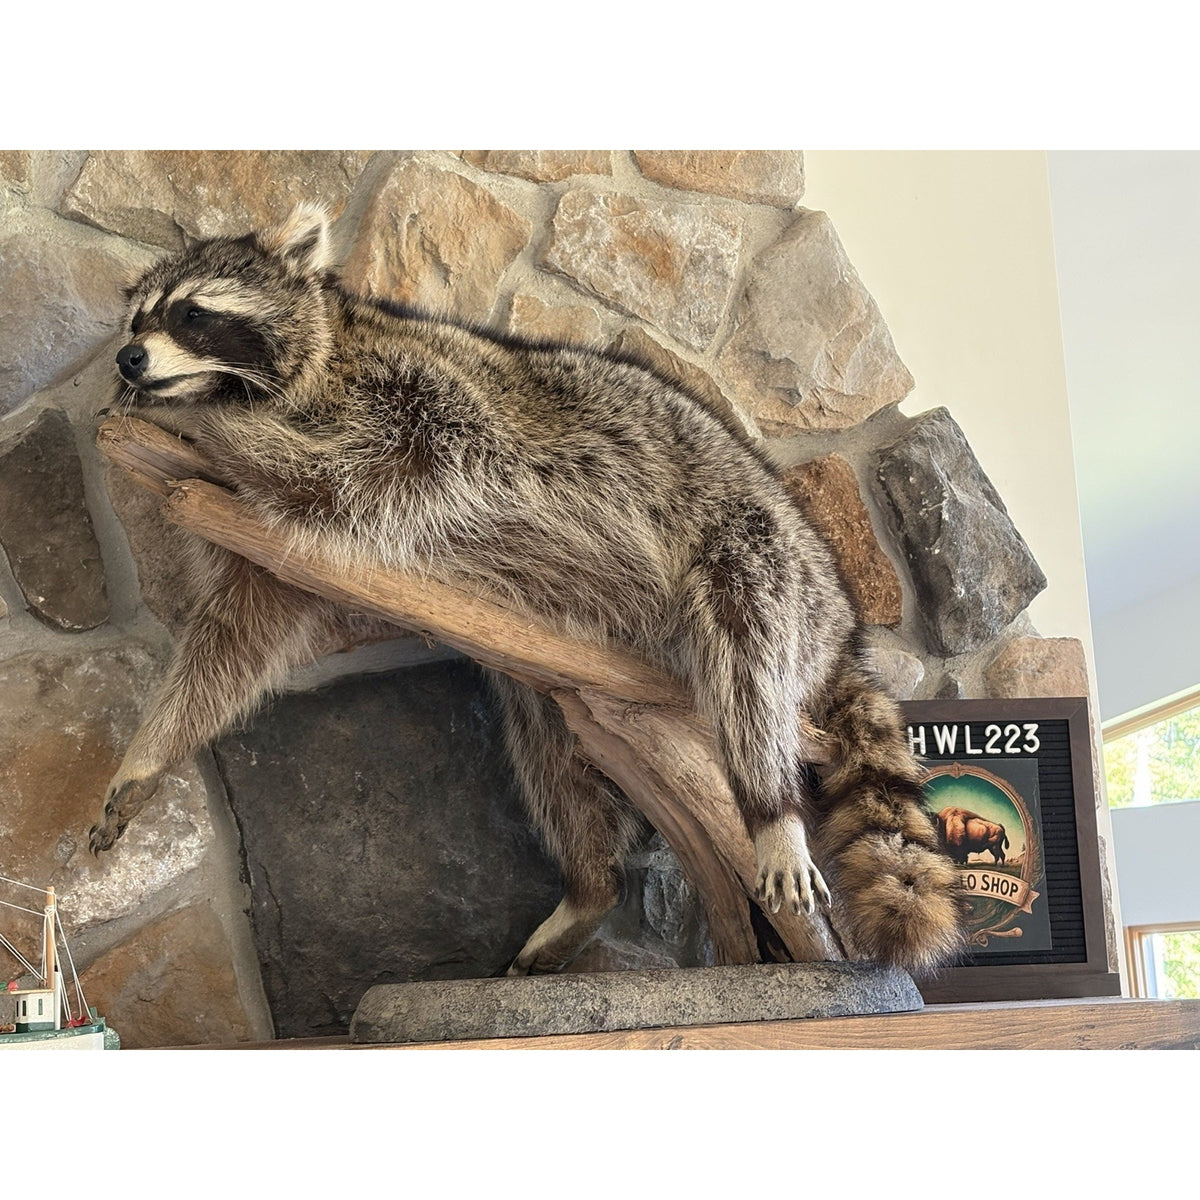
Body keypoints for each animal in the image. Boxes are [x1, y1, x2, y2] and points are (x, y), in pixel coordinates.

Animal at [91, 204, 966, 976]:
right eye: (136, 320)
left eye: (191, 314)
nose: (128, 360)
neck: (323, 354)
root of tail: (844, 622)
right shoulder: (267, 546)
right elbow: (238, 638)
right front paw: (151, 749)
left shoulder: (420, 408)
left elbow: (343, 470)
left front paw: (216, 428)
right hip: (565, 683)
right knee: (554, 759)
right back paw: (590, 884)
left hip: (763, 552)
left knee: (747, 648)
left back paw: (768, 805)